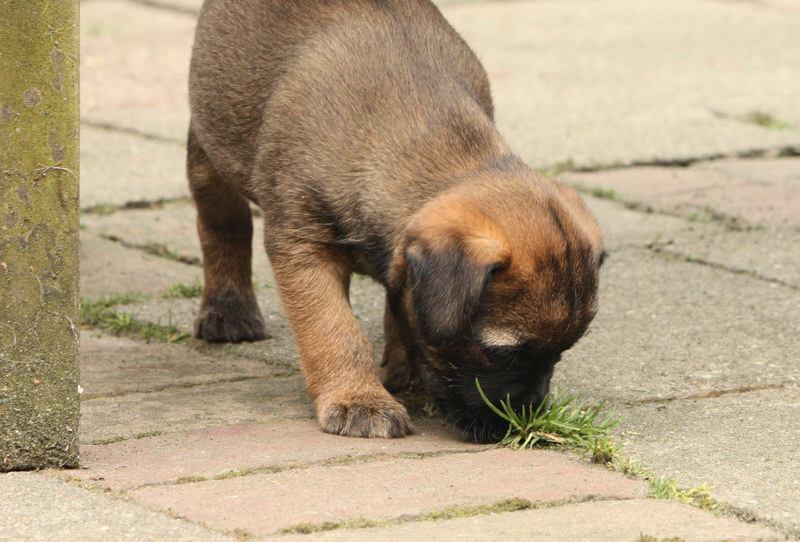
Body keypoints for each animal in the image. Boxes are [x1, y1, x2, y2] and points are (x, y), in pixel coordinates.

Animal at [188, 0, 605, 442]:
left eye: (562, 351)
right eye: (499, 352)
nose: (523, 421)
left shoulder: (401, 260)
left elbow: (402, 306)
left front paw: (404, 369)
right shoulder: (303, 246)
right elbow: (333, 329)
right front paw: (359, 398)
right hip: (208, 148)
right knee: (223, 224)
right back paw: (228, 310)